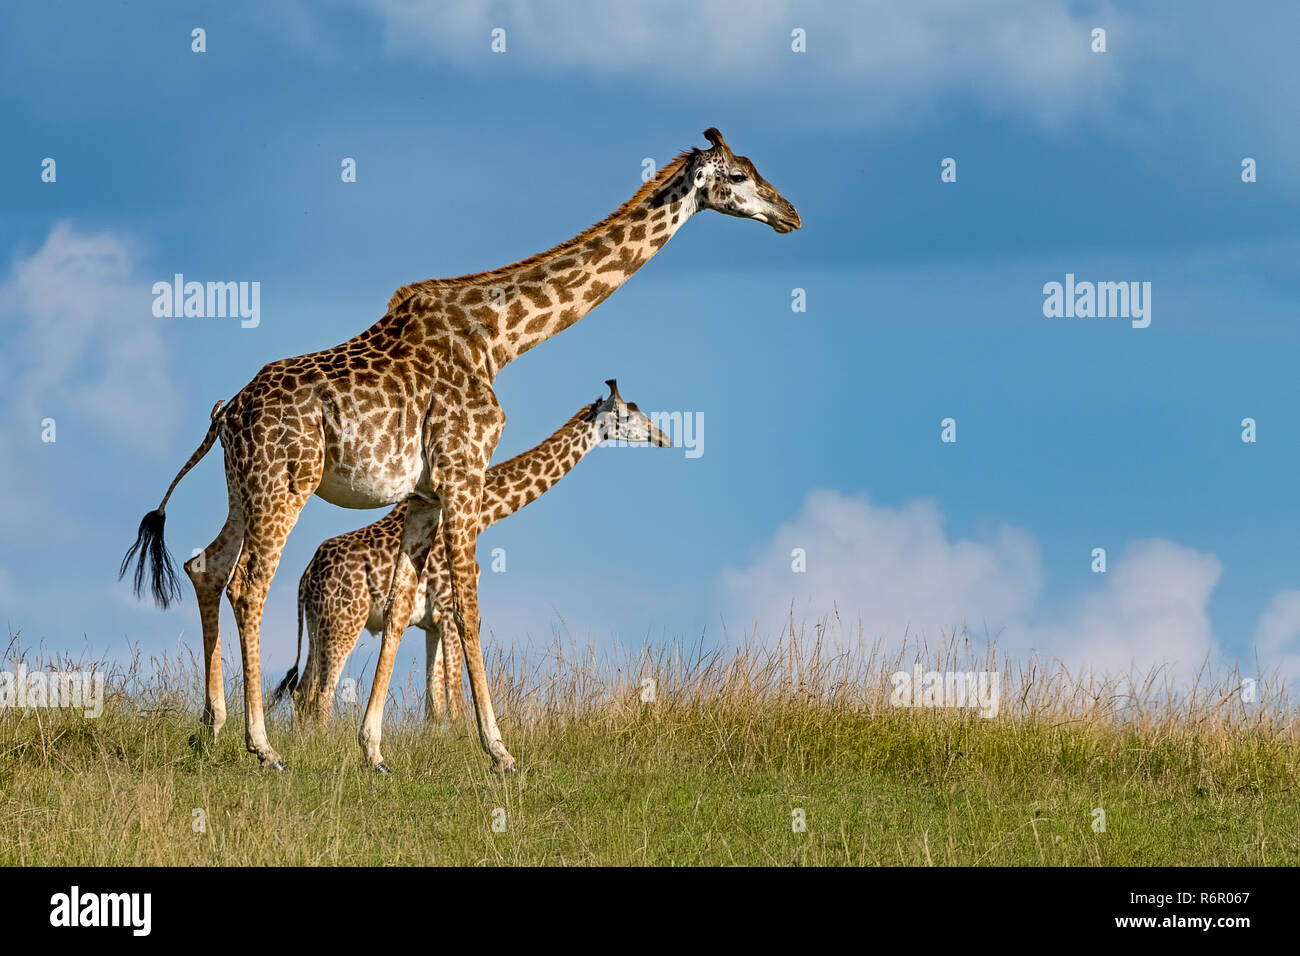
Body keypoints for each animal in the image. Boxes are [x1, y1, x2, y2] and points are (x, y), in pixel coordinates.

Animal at [280, 382, 676, 723]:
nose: (664, 437)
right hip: (345, 621)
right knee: (322, 696)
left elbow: (435, 706)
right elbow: (455, 704)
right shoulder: (447, 611)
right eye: (627, 415)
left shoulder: (431, 623)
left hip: (319, 625)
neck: (486, 515)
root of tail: (305, 579)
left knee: (303, 692)